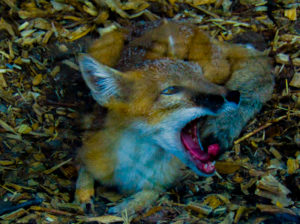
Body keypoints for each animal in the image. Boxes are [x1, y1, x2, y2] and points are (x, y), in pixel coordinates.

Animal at [75, 21, 274, 215]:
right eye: (171, 90)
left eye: (201, 78)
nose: (234, 95)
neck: (135, 164)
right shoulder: (90, 145)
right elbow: (83, 167)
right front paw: (83, 193)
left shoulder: (164, 179)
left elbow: (153, 191)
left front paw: (132, 204)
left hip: (216, 70)